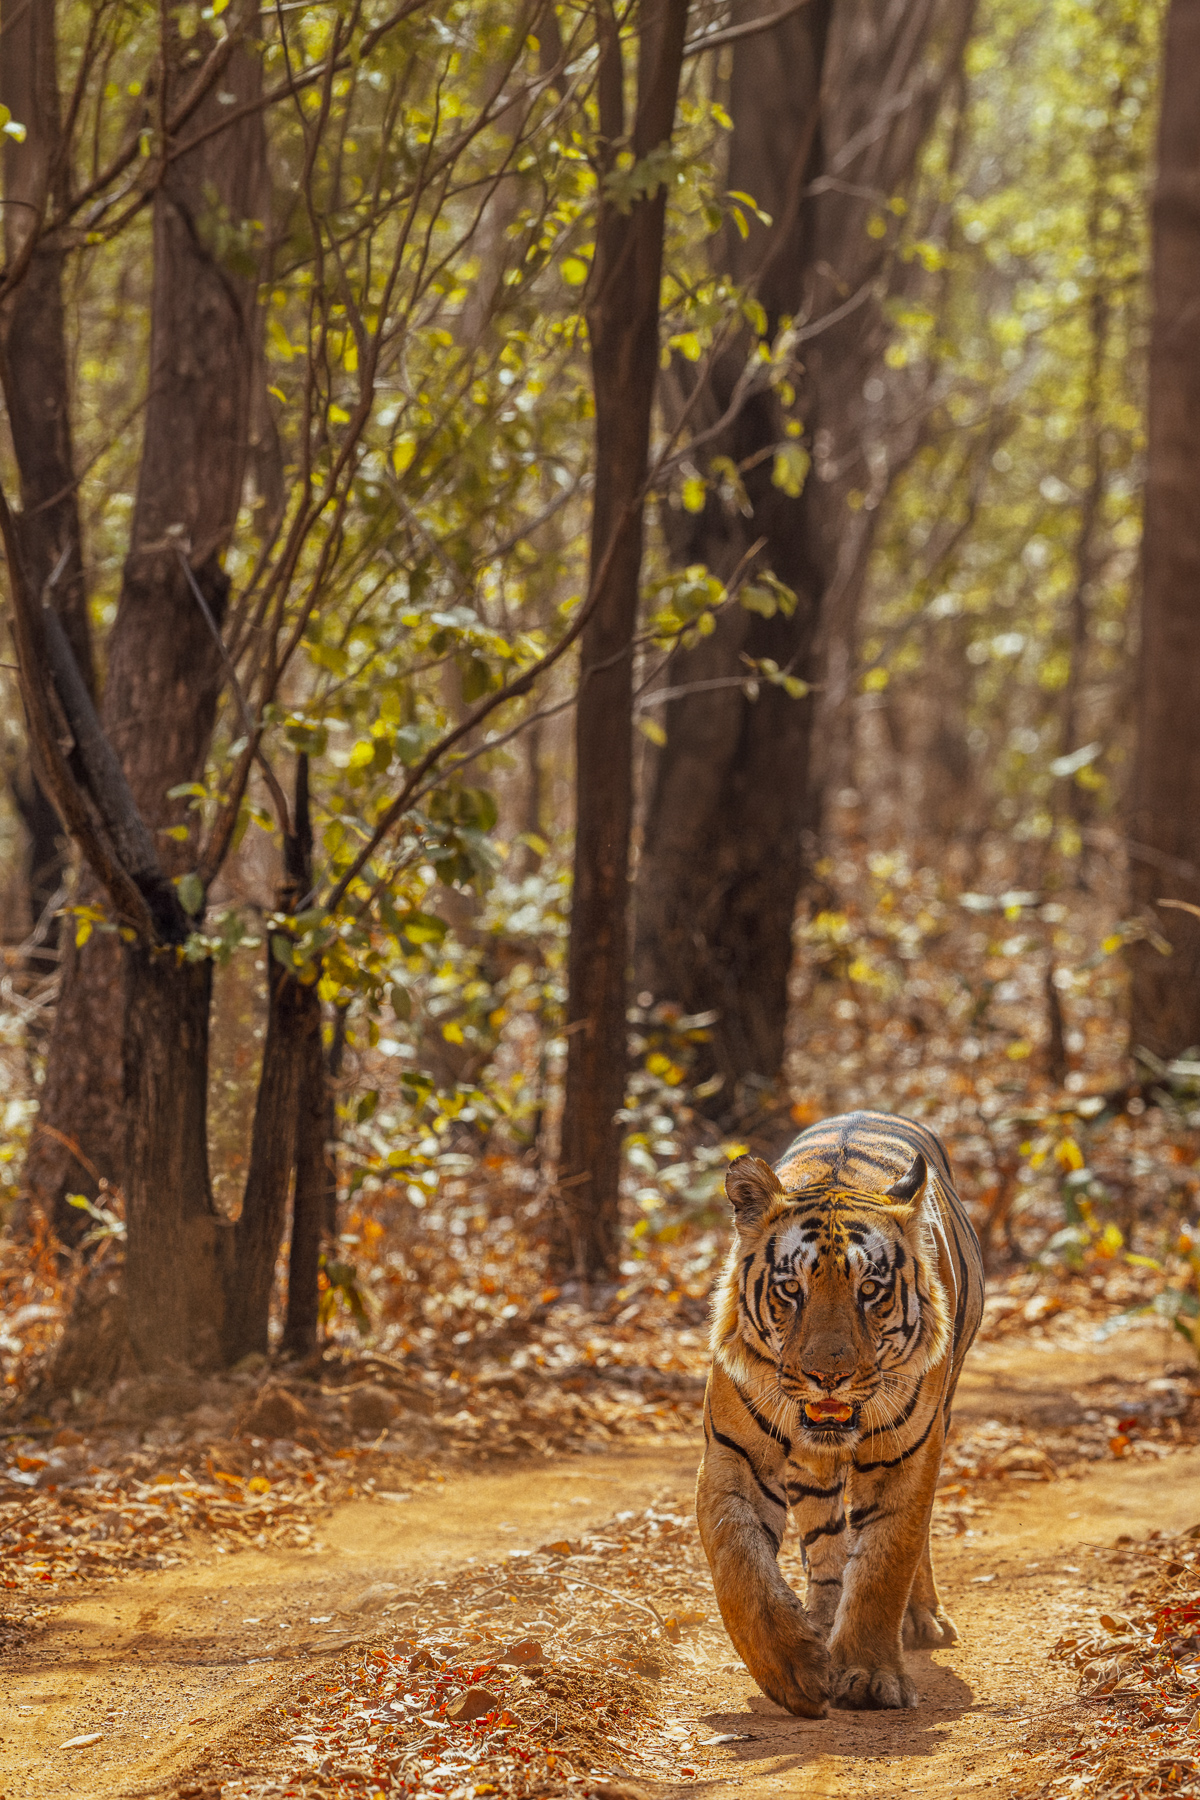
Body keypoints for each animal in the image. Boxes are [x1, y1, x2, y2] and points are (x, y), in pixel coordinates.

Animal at [696, 1109, 983, 1715]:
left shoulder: (907, 1455)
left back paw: (921, 1620)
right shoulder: (733, 1457)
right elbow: (739, 1564)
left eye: (870, 1290)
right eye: (790, 1289)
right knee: (825, 1538)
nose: (828, 1376)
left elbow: (884, 1563)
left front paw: (870, 1676)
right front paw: (795, 1671)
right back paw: (823, 1619)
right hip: (809, 1469)